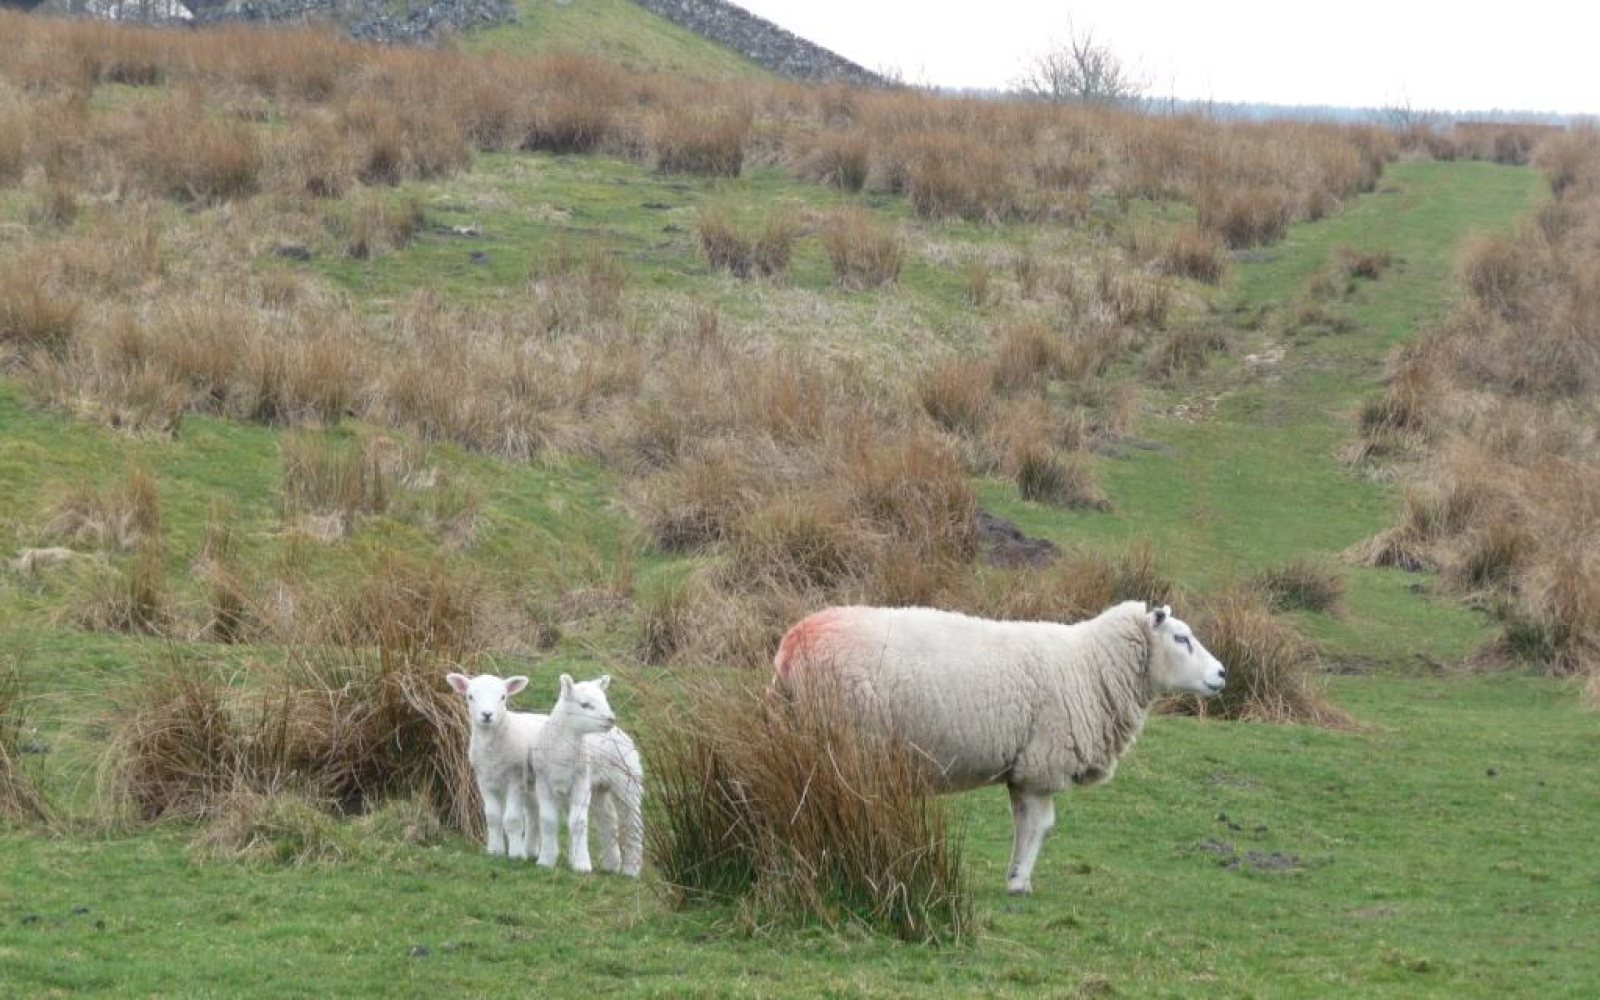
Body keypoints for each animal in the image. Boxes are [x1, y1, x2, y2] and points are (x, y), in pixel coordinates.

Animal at [528, 673, 645, 876]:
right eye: (585, 705)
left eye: (605, 700)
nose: (610, 718)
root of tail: (620, 732)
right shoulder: (544, 783)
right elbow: (548, 821)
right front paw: (545, 861)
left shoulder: (581, 781)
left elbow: (578, 822)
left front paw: (582, 865)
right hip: (599, 787)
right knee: (608, 817)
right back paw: (611, 864)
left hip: (627, 780)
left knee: (633, 821)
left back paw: (631, 869)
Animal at [773, 600, 1227, 895]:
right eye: (1181, 638)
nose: (1223, 673)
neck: (1090, 666)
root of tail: (792, 645)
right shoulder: (1042, 763)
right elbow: (1041, 825)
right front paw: (1020, 882)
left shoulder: (1022, 768)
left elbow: (1023, 823)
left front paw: (1013, 874)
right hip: (846, 737)